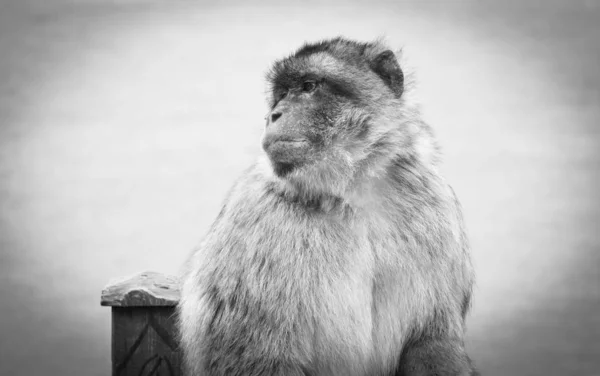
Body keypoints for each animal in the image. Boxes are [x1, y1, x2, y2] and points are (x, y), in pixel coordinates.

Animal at [177, 36, 478, 376]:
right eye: (282, 94)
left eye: (308, 86)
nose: (273, 115)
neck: (351, 193)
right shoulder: (255, 219)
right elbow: (256, 357)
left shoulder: (435, 206)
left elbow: (431, 341)